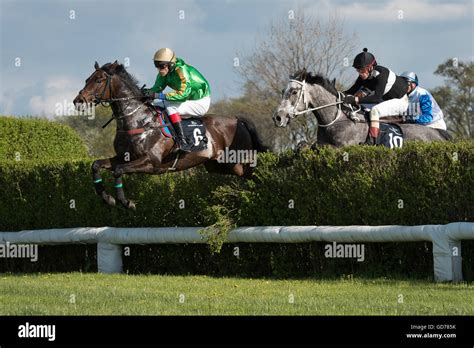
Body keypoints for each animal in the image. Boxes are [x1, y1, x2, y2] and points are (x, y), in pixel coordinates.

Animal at [74, 61, 266, 209]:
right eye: (87, 79)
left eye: (99, 80)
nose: (78, 101)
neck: (139, 120)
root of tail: (237, 119)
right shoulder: (124, 156)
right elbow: (96, 165)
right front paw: (108, 198)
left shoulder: (151, 163)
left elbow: (118, 170)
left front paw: (126, 202)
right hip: (219, 165)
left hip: (237, 159)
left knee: (254, 173)